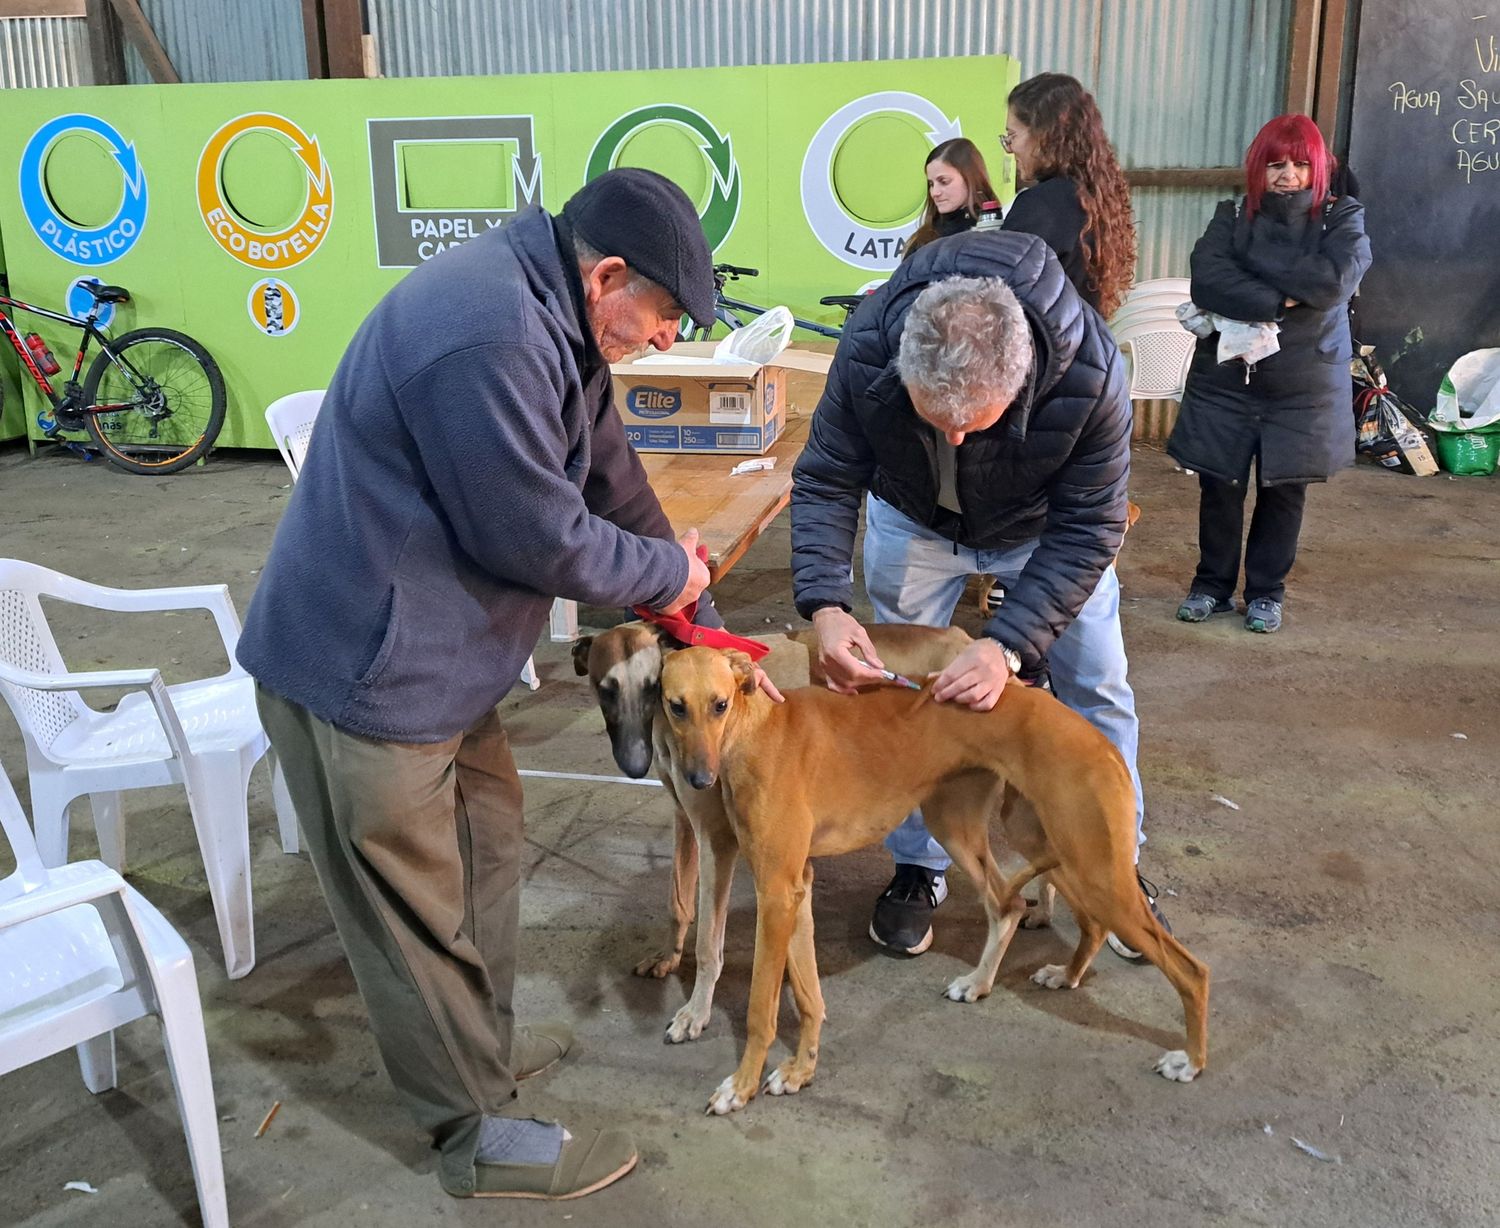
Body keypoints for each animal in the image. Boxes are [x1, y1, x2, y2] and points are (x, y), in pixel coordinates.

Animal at [567, 620, 966, 1043]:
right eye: (605, 688)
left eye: (650, 687)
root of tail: (963, 639)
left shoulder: (717, 838)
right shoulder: (686, 821)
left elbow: (709, 941)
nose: (635, 764)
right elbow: (678, 902)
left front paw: (697, 1011)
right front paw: (668, 957)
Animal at [663, 647, 1212, 1121]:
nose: (698, 780)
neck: (756, 730)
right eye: (675, 706)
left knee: (1191, 970)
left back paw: (1189, 1061)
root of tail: (1099, 741)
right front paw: (800, 1070)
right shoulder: (795, 887)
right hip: (1009, 833)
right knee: (1025, 910)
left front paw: (741, 1087)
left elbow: (762, 1006)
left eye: (719, 704)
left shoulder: (776, 891)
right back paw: (1026, 979)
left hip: (1090, 865)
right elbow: (807, 994)